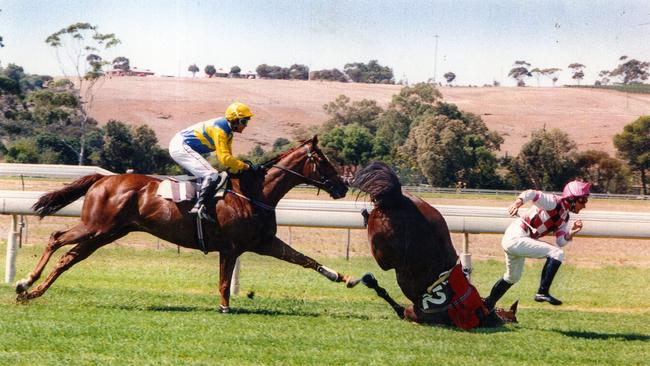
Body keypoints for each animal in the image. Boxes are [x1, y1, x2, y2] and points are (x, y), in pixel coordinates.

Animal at [15, 136, 360, 314]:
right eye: (324, 161)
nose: (342, 186)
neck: (254, 193)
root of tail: (103, 178)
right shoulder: (231, 248)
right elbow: (224, 282)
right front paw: (224, 307)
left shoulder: (264, 243)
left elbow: (305, 260)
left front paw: (344, 277)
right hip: (96, 226)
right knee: (56, 238)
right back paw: (24, 282)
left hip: (106, 233)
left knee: (68, 258)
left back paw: (32, 293)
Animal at [352, 162, 512, 328]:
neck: (481, 311)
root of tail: (399, 198)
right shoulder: (416, 311)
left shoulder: (414, 311)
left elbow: (396, 305)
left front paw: (370, 281)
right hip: (385, 254)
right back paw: (365, 215)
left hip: (389, 249)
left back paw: (366, 214)